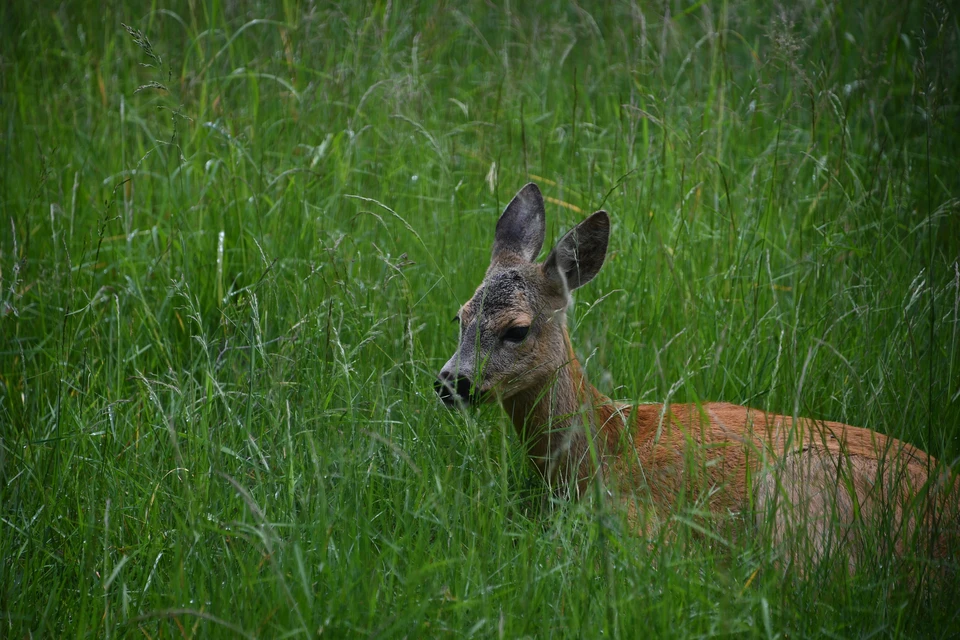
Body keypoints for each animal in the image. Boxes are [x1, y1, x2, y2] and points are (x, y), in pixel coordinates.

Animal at [438, 182, 956, 568]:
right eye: (459, 315)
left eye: (517, 329)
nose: (450, 382)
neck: (601, 446)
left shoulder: (639, 521)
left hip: (799, 492)